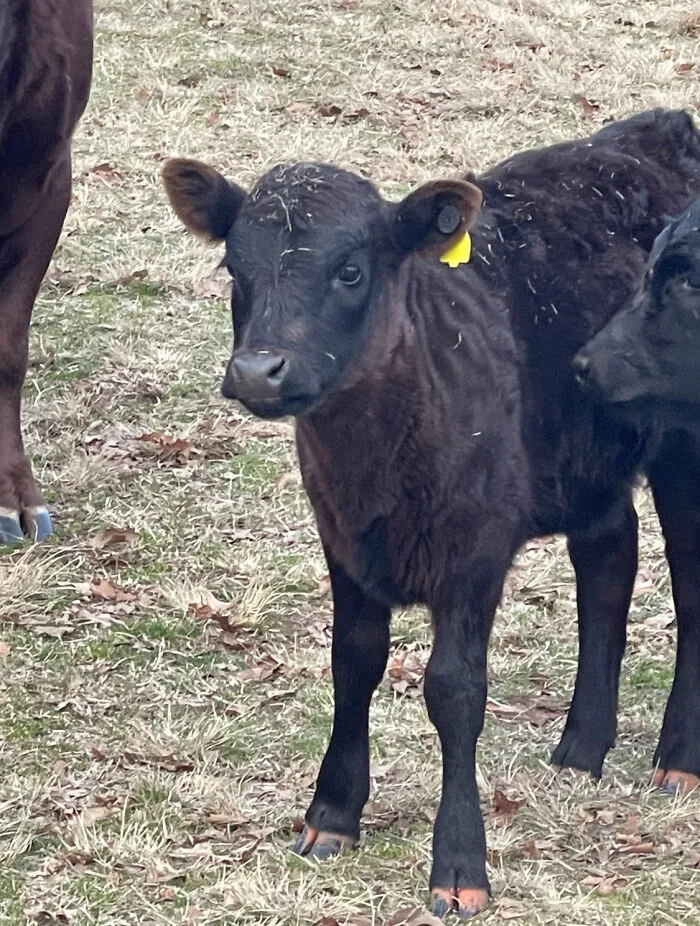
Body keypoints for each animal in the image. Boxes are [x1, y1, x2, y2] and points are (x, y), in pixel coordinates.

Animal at [163, 109, 700, 918]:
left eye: (352, 270)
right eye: (233, 267)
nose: (258, 372)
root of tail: (661, 128)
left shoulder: (475, 548)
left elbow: (454, 691)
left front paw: (459, 866)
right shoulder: (342, 538)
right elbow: (353, 662)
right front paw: (332, 814)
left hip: (683, 451)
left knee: (689, 586)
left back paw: (678, 758)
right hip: (586, 466)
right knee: (608, 564)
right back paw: (581, 748)